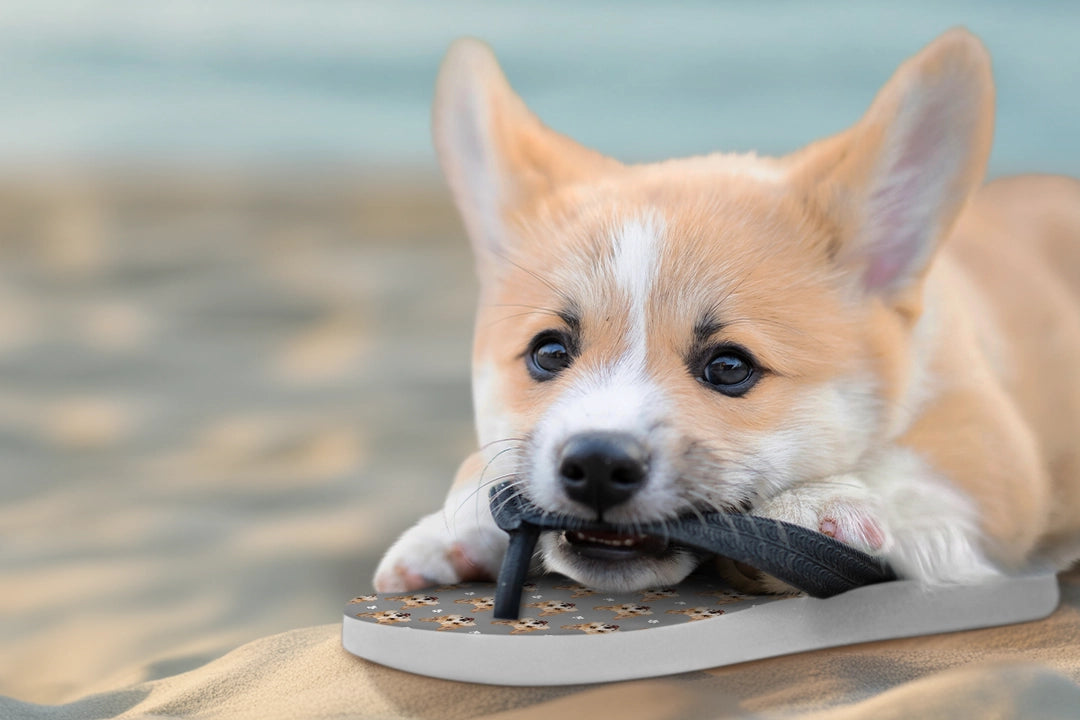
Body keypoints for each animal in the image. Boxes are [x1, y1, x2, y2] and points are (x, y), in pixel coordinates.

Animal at [373, 31, 1080, 595]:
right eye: (548, 353)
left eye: (730, 368)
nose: (597, 464)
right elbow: (486, 462)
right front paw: (450, 528)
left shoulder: (992, 451)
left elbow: (905, 469)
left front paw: (815, 504)